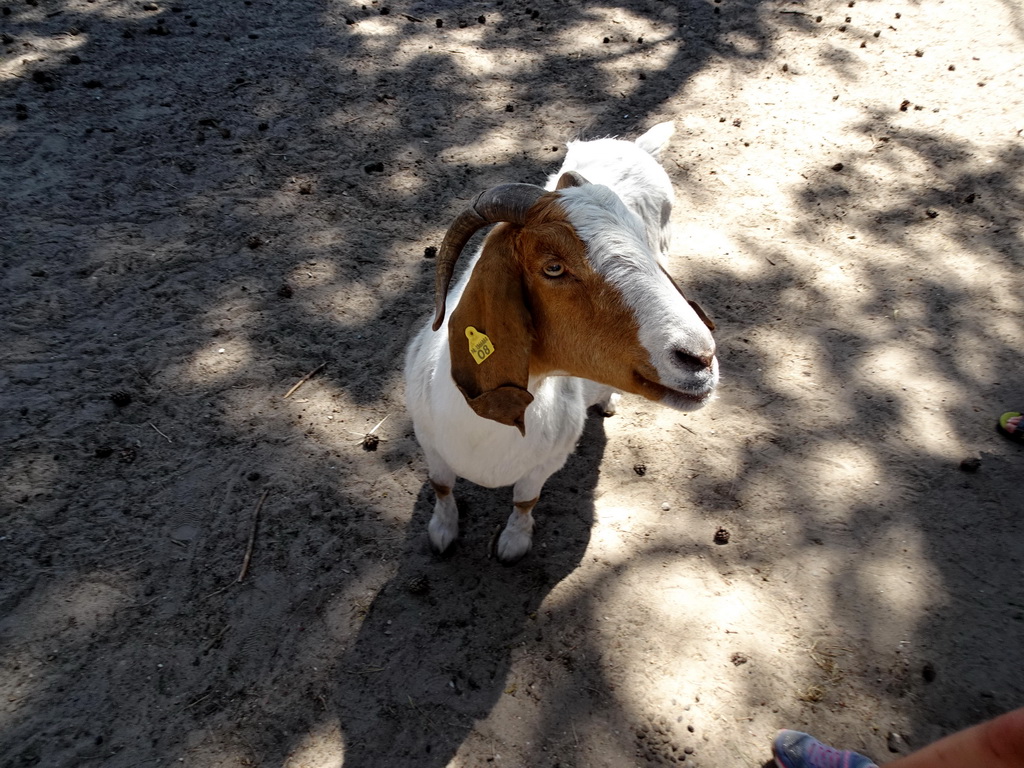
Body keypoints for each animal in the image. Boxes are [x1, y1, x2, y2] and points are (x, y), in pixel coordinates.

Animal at [403, 121, 716, 565]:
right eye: (553, 267)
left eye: (643, 243)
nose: (699, 359)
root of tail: (637, 147)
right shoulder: (430, 445)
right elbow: (442, 487)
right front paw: (442, 532)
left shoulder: (546, 463)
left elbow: (524, 501)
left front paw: (513, 544)